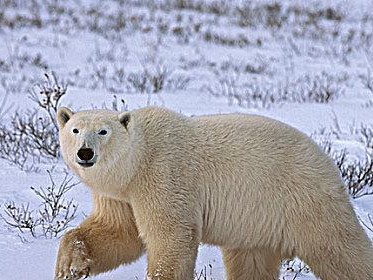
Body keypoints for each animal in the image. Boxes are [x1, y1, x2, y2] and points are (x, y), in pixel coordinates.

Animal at [54, 106, 372, 278]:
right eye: (75, 129)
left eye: (103, 131)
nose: (85, 153)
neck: (138, 161)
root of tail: (327, 161)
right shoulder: (119, 195)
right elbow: (118, 232)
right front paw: (70, 266)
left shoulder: (163, 175)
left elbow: (171, 236)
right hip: (256, 223)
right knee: (250, 263)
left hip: (302, 199)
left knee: (340, 251)